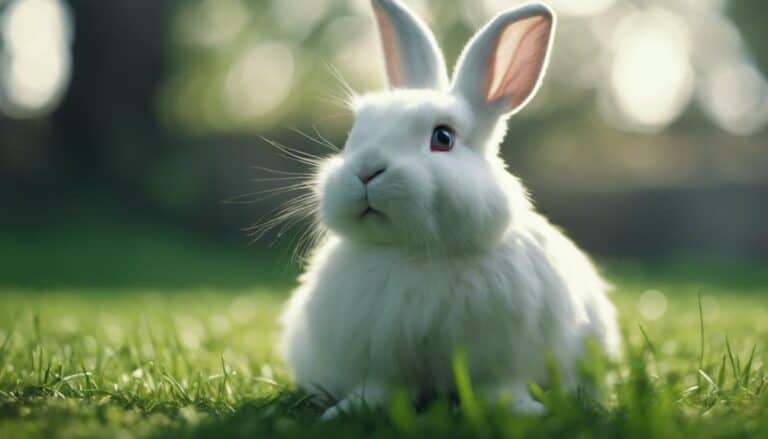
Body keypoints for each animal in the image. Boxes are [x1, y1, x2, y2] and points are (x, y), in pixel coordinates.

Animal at [279, 0, 621, 419]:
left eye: (443, 137)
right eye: (355, 133)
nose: (366, 171)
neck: (420, 252)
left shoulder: (502, 359)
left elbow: (500, 389)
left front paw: (525, 412)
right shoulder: (381, 358)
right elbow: (380, 388)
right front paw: (346, 412)